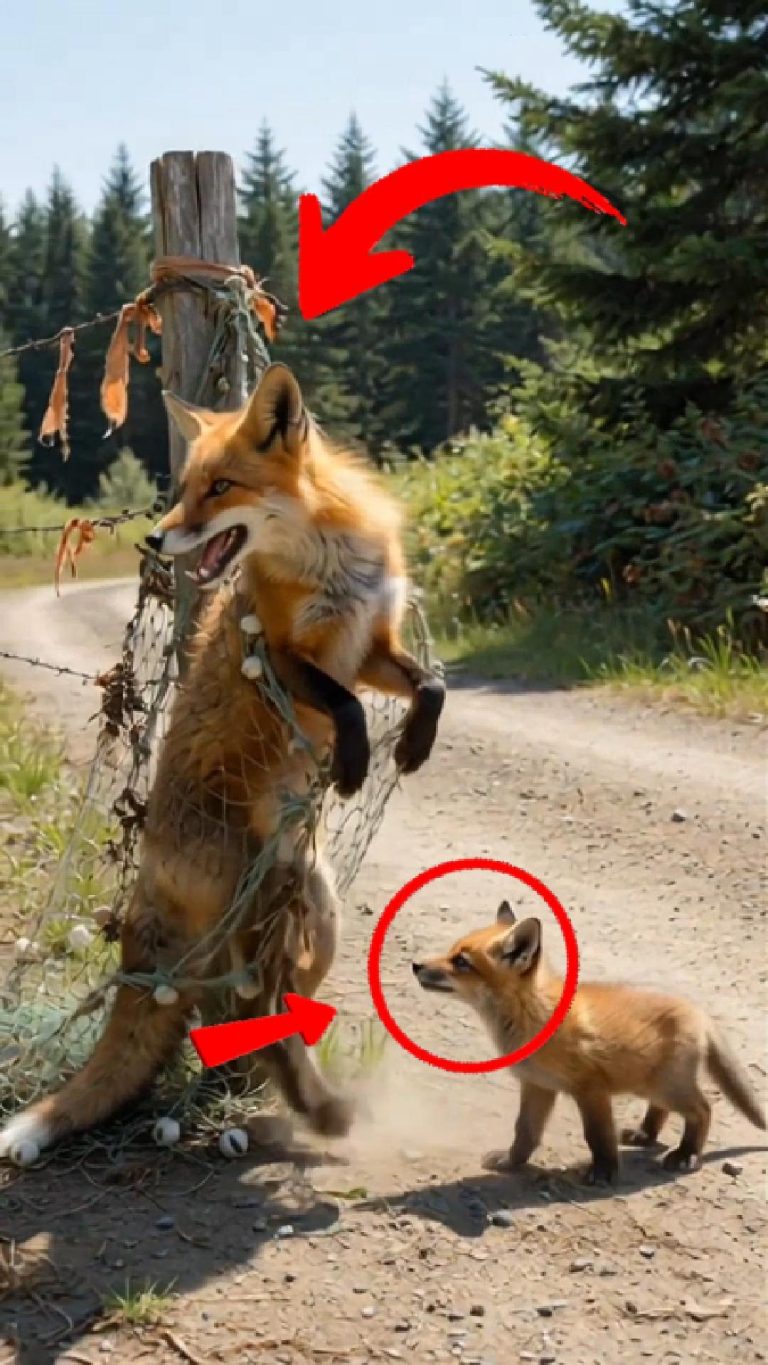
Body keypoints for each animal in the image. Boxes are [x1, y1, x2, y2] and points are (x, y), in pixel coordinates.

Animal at [0, 362, 445, 1165]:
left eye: (222, 487)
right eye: (184, 487)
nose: (154, 536)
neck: (325, 558)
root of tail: (149, 880)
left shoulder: (372, 645)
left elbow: (430, 684)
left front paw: (414, 745)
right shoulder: (282, 653)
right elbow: (346, 707)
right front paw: (357, 761)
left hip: (312, 909)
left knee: (257, 1006)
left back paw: (294, 1098)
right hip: (262, 894)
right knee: (251, 1004)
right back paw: (315, 1110)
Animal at [413, 902, 766, 1183]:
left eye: (461, 962)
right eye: (451, 951)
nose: (416, 965)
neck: (533, 1017)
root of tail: (699, 1011)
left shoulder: (590, 1088)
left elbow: (598, 1136)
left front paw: (604, 1172)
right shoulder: (538, 1086)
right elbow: (524, 1133)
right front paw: (511, 1162)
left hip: (667, 1086)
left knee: (703, 1110)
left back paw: (686, 1154)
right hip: (650, 1084)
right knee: (662, 1110)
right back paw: (645, 1135)